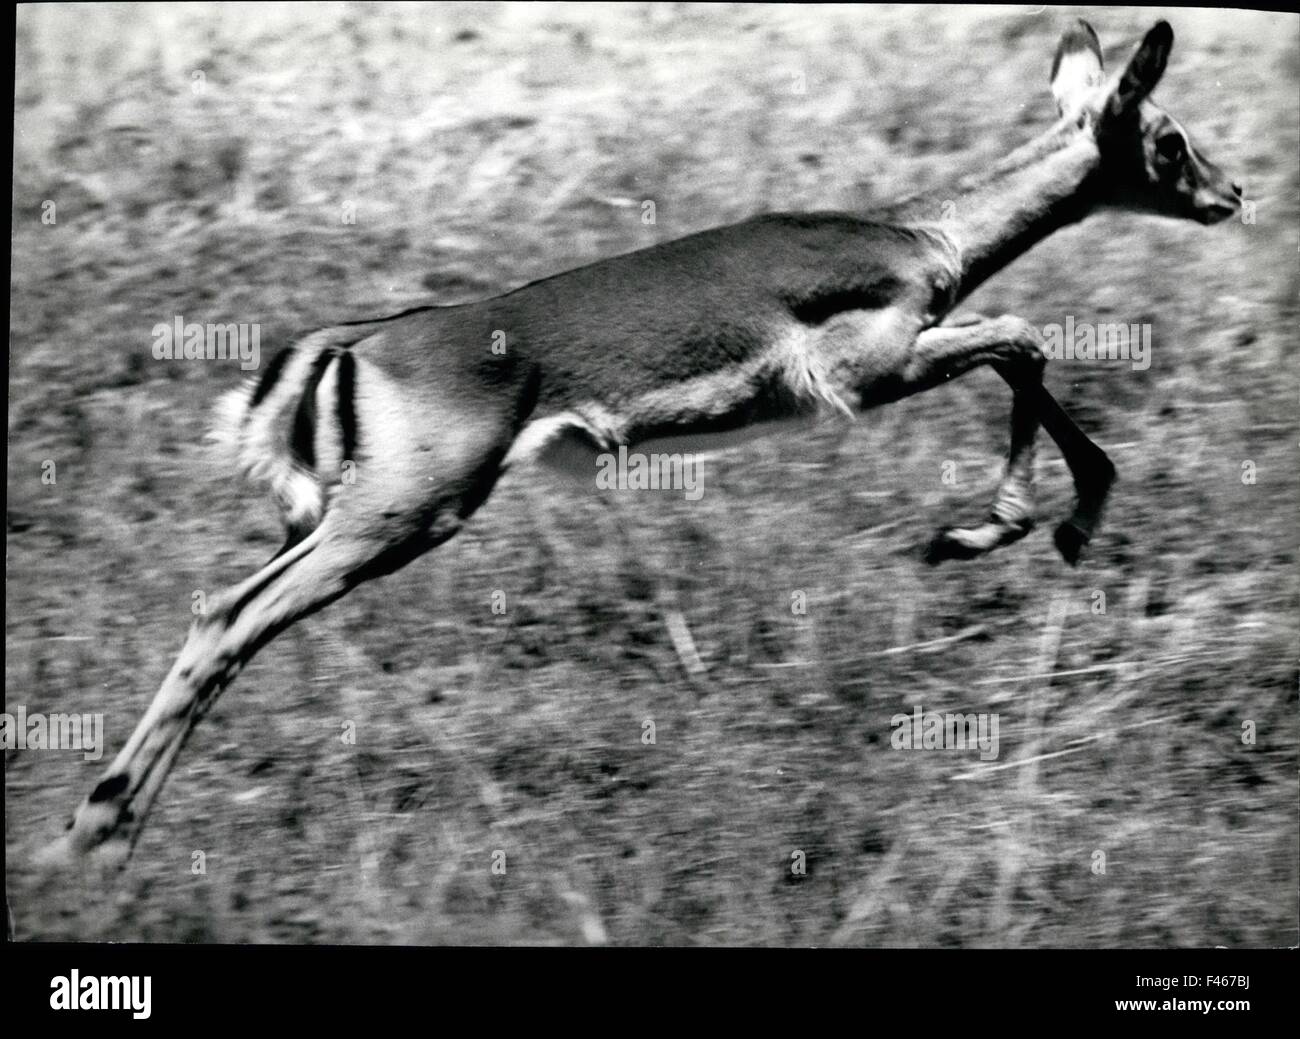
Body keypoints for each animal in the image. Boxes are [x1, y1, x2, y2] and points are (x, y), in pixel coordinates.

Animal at [48, 18, 1240, 863]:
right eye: (1169, 134)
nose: (1233, 192)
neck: (917, 238)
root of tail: (356, 341)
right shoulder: (871, 375)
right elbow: (1024, 340)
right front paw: (1001, 529)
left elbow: (1022, 351)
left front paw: (1029, 528)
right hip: (400, 517)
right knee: (231, 617)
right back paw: (96, 838)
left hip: (349, 515)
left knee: (218, 609)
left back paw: (101, 831)